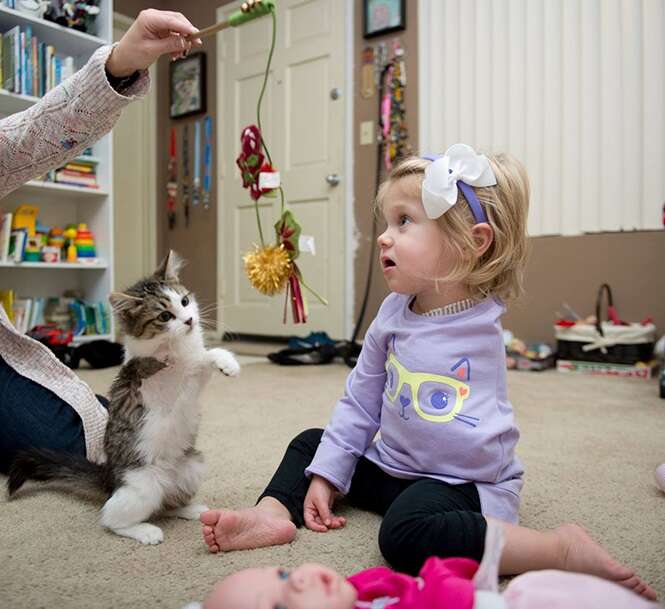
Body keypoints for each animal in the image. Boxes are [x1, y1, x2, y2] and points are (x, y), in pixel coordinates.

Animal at [6, 249, 240, 544]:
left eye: (185, 301)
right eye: (165, 316)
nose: (189, 321)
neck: (176, 348)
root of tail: (109, 477)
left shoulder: (193, 379)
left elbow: (205, 358)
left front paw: (228, 363)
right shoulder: (149, 382)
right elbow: (172, 366)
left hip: (193, 466)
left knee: (167, 504)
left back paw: (190, 509)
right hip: (142, 486)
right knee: (111, 518)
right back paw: (145, 531)